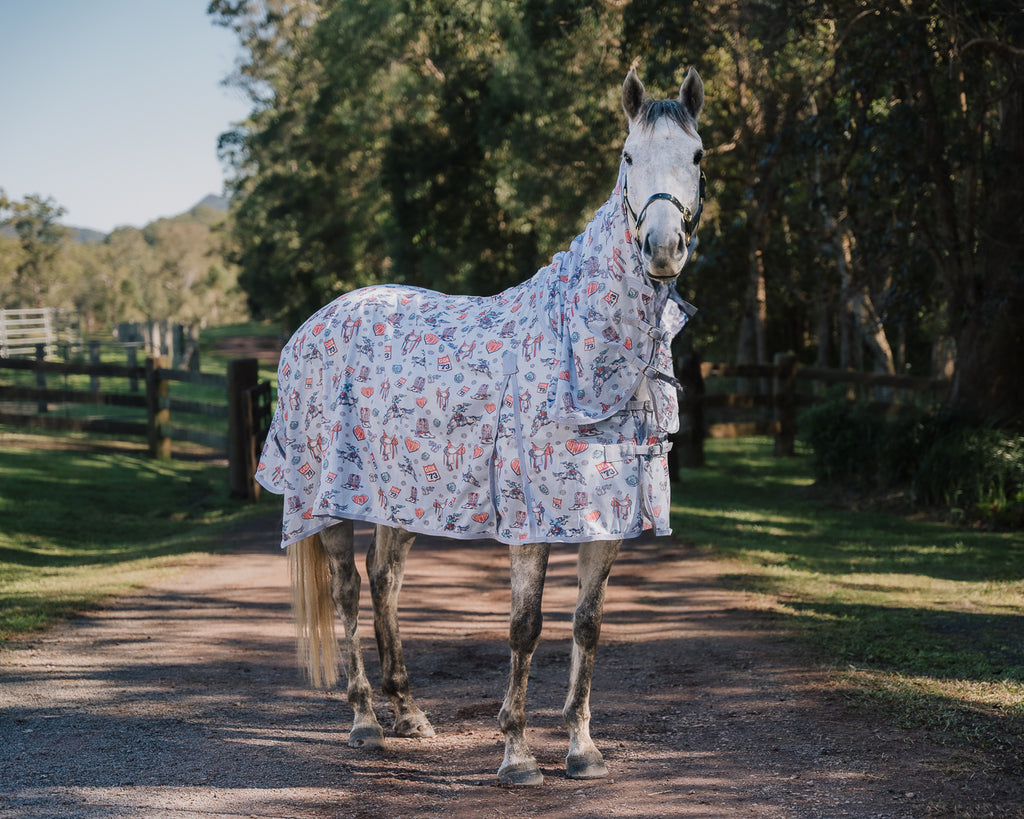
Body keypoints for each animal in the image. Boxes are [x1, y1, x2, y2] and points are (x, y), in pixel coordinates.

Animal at [256, 66, 706, 786]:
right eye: (628, 158)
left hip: (397, 499)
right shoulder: (530, 521)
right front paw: (516, 754)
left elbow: (587, 625)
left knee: (385, 582)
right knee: (349, 590)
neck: (582, 350)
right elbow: (525, 627)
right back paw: (364, 722)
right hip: (325, 501)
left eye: (695, 157)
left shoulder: (605, 520)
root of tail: (316, 322)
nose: (662, 249)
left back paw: (409, 713)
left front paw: (582, 748)